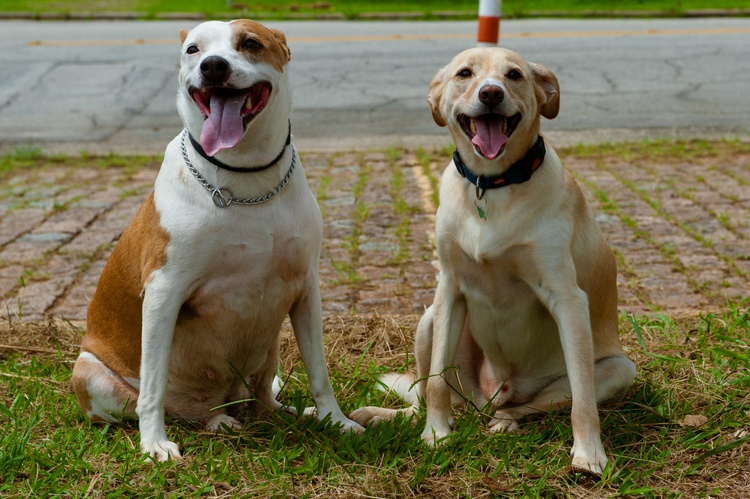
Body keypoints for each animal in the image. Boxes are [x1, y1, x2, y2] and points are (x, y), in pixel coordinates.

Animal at [72, 20, 364, 464]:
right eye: (193, 49)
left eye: (251, 43)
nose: (212, 66)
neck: (247, 180)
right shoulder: (163, 293)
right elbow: (153, 385)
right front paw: (153, 443)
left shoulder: (306, 289)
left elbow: (319, 370)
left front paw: (336, 420)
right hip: (90, 371)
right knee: (158, 403)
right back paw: (207, 422)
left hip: (269, 351)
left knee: (263, 400)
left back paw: (289, 414)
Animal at [352, 48, 636, 474]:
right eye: (465, 73)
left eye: (514, 75)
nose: (490, 93)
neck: (491, 186)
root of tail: (489, 395)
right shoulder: (449, 289)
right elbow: (435, 382)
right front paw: (436, 434)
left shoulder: (567, 298)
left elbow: (583, 399)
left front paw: (588, 454)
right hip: (428, 320)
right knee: (428, 396)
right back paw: (387, 416)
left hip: (617, 368)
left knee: (529, 406)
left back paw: (504, 422)